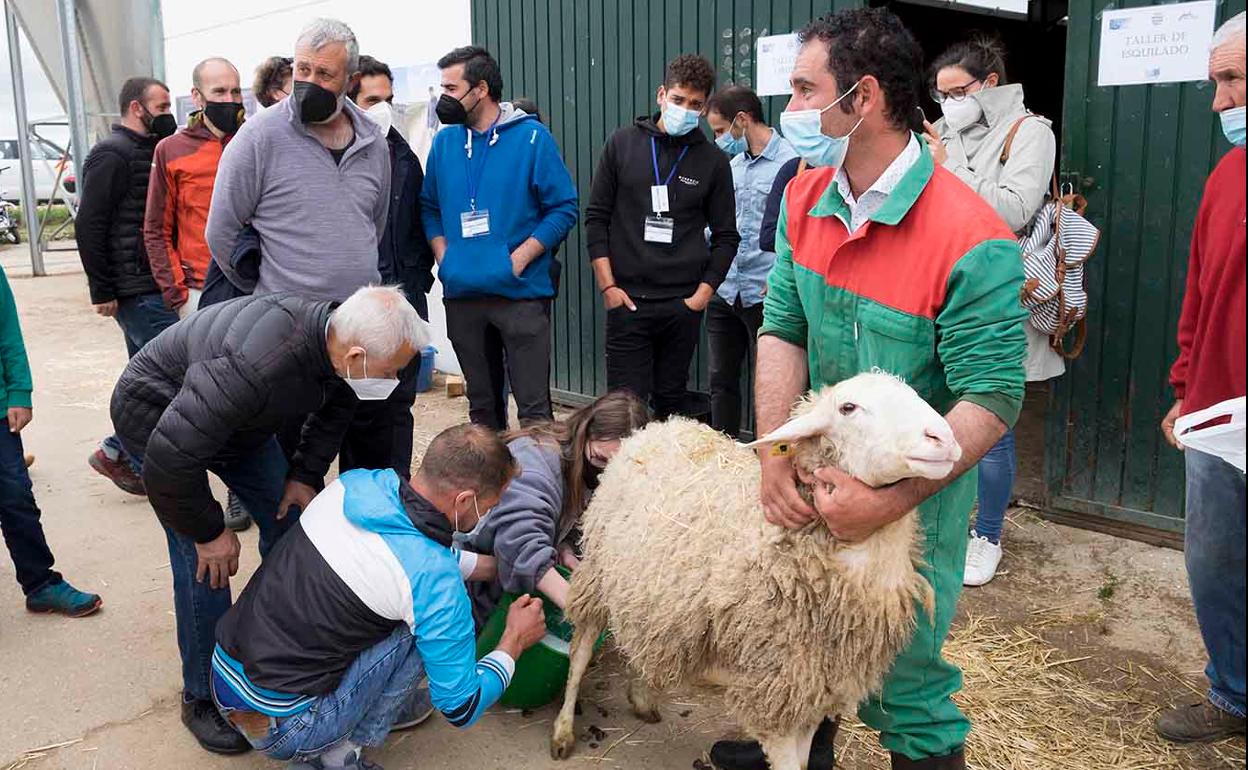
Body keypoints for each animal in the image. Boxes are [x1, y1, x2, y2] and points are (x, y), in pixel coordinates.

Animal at [549, 371, 963, 768]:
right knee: (580, 652)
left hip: (650, 590)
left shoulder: (812, 685)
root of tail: (654, 428)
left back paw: (641, 696)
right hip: (598, 574)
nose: (944, 438)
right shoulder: (776, 684)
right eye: (848, 408)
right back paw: (563, 730)